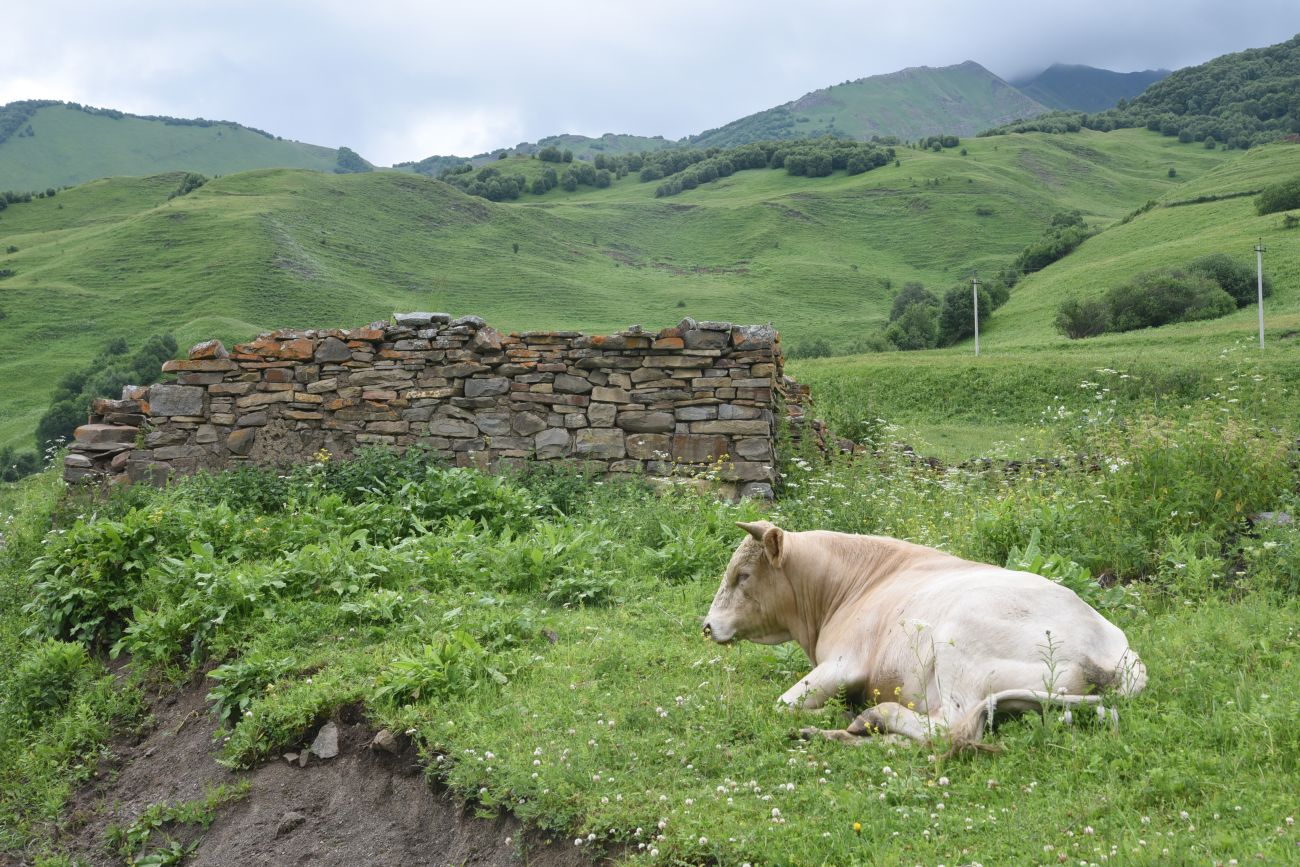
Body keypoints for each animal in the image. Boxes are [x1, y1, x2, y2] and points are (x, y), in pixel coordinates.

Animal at [702, 519, 1149, 748]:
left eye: (743, 575)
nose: (707, 626)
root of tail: (1116, 650)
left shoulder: (844, 663)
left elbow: (782, 705)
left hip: (957, 647)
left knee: (950, 727)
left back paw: (871, 717)